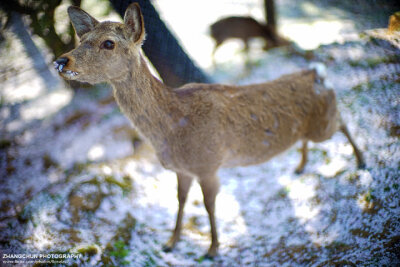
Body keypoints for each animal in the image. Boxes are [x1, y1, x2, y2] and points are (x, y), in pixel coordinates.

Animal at [54, 3, 364, 260]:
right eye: (81, 39)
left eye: (109, 43)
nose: (61, 61)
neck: (172, 129)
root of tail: (318, 73)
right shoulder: (182, 169)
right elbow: (180, 201)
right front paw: (170, 243)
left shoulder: (208, 164)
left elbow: (208, 206)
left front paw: (213, 249)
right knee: (312, 136)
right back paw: (300, 166)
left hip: (325, 123)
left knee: (344, 121)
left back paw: (361, 161)